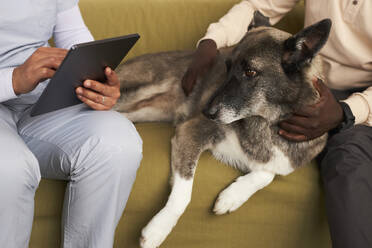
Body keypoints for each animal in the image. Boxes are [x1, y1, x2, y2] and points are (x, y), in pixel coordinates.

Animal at [113, 13, 332, 248]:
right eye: (227, 67)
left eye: (250, 72)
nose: (205, 111)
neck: (266, 122)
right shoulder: (191, 130)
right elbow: (184, 193)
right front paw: (158, 229)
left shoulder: (282, 162)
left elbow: (267, 175)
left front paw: (232, 196)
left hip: (143, 112)